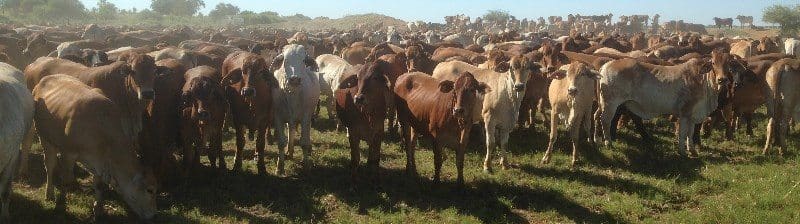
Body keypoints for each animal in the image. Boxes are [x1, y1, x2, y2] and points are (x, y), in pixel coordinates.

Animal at [33, 75, 158, 220]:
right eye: (150, 190)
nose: (154, 215)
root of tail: (46, 79)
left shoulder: (100, 162)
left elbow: (99, 185)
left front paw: (98, 209)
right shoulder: (68, 153)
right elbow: (65, 181)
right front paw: (60, 205)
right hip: (44, 137)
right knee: (50, 165)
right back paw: (49, 192)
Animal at [270, 43, 318, 173]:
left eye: (303, 60)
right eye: (285, 60)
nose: (294, 79)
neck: (293, 94)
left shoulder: (305, 117)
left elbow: (304, 142)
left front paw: (305, 164)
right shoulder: (278, 117)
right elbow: (281, 142)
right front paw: (280, 166)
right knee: (290, 130)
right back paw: (289, 151)